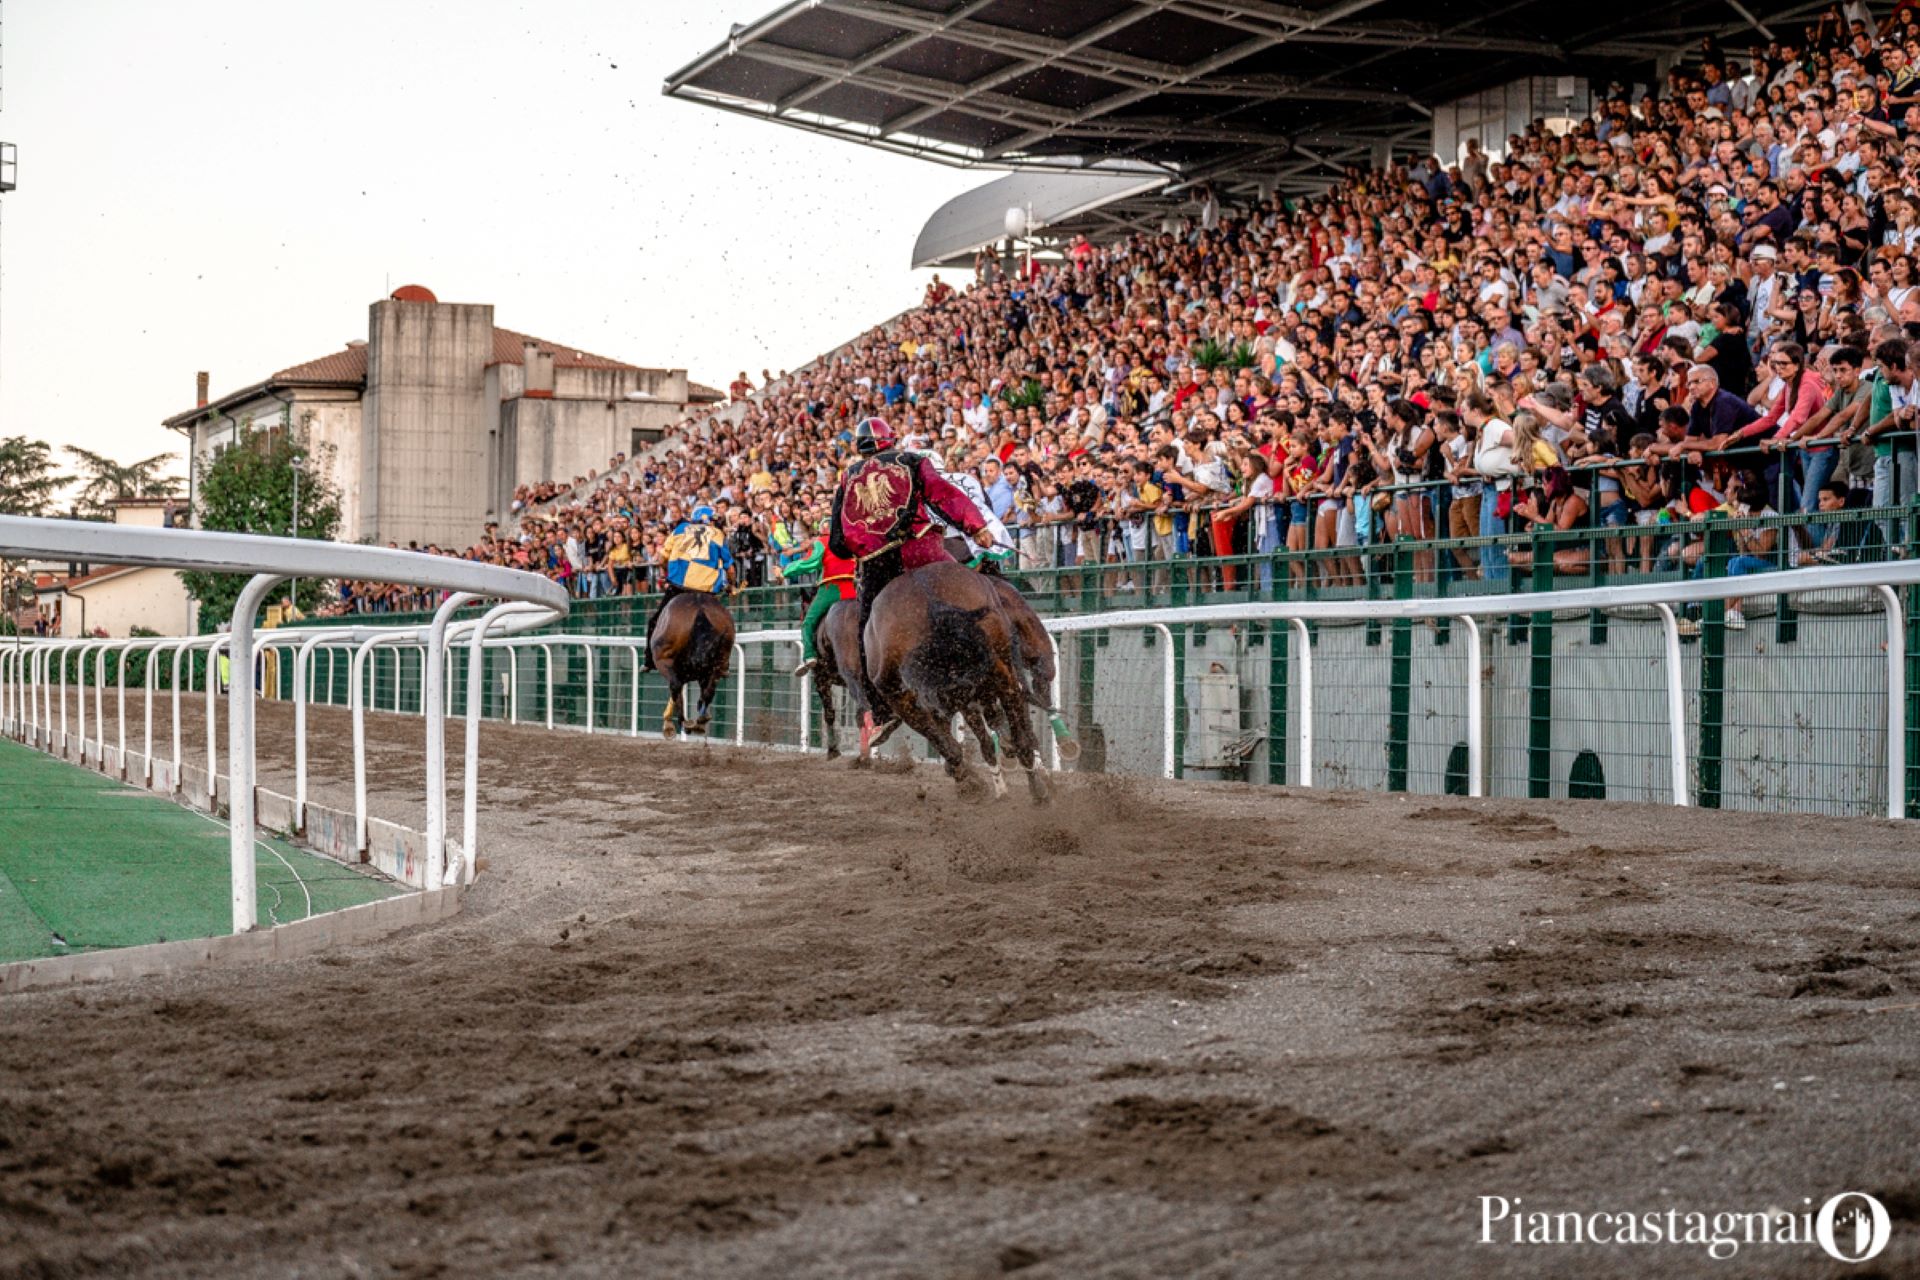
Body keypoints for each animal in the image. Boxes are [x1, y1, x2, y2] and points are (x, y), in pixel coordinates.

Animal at [648, 594, 729, 740]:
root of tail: (699, 608)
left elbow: (676, 689)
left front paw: (669, 725)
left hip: (665, 659)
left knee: (676, 687)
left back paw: (685, 722)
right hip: (719, 661)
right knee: (709, 690)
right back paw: (700, 721)